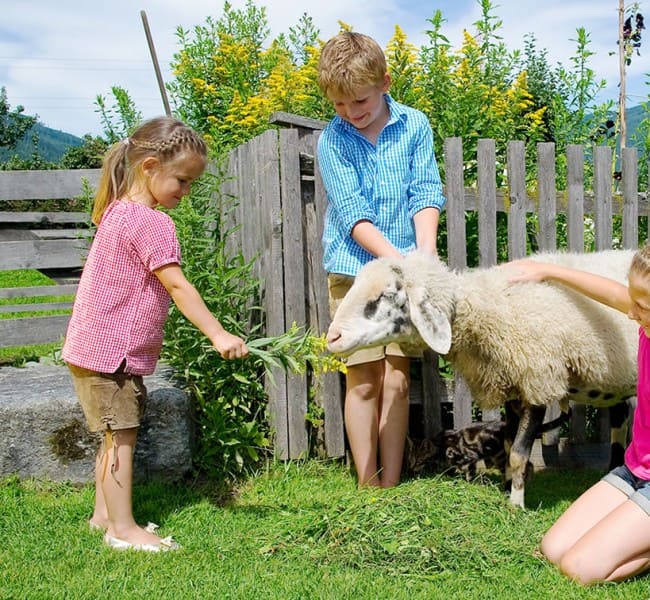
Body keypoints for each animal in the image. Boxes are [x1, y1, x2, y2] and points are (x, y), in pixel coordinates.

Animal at [326, 249, 639, 507]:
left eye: (387, 295)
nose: (333, 338)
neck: (490, 305)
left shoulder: (537, 380)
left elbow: (518, 452)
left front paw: (516, 505)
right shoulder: (514, 389)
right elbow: (509, 445)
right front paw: (507, 487)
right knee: (619, 421)